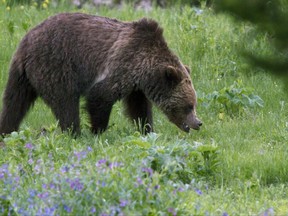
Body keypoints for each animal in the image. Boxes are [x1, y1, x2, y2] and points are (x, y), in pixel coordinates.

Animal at [0, 12, 202, 135]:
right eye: (188, 106)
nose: (198, 123)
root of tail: (25, 42)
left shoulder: (136, 85)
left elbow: (139, 107)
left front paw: (146, 129)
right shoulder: (122, 63)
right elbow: (100, 96)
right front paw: (98, 131)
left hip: (22, 76)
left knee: (14, 103)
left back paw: (6, 131)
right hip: (55, 65)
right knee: (65, 102)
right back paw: (74, 132)